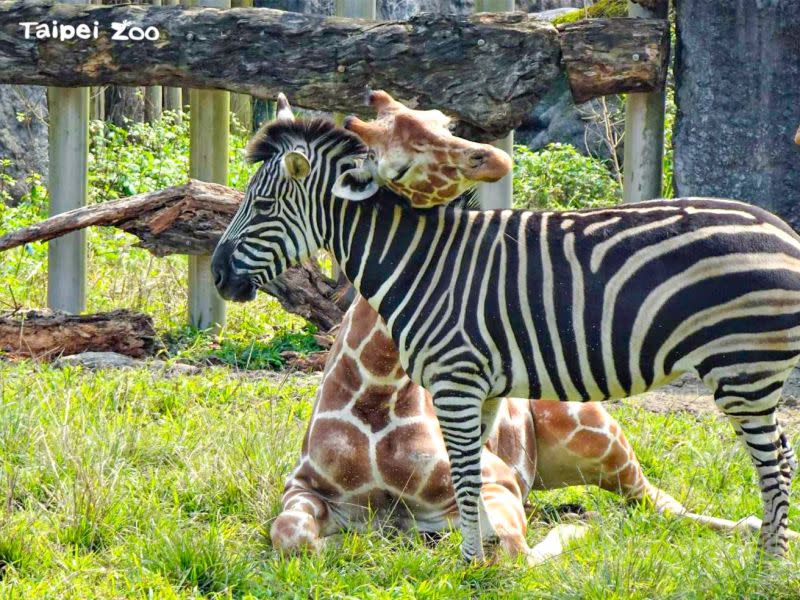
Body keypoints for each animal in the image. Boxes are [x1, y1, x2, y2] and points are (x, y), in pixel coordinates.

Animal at [212, 108, 800, 564]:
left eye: (261, 207)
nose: (217, 274)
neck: (419, 265)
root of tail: (780, 228)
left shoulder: (455, 382)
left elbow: (469, 479)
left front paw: (472, 565)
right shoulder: (482, 390)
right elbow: (474, 478)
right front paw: (478, 556)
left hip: (739, 371)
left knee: (770, 466)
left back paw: (767, 568)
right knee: (776, 459)